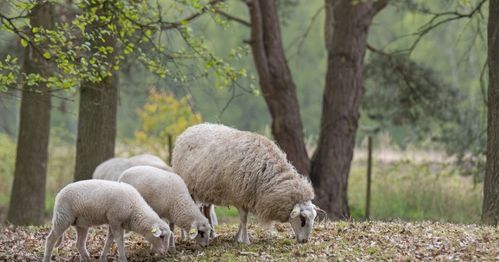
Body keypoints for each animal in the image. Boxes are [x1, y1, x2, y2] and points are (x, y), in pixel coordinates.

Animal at [43, 180, 172, 262]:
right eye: (161, 237)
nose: (165, 253)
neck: (134, 209)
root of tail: (58, 194)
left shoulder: (115, 222)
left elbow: (110, 239)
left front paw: (103, 258)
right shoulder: (115, 220)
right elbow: (119, 239)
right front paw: (123, 259)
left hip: (81, 223)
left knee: (79, 243)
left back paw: (86, 258)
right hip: (63, 218)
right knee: (50, 239)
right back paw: (47, 259)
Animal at [172, 123, 320, 244]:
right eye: (302, 220)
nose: (304, 241)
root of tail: (189, 130)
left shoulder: (247, 197)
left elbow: (243, 220)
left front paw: (237, 238)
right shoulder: (240, 196)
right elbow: (244, 219)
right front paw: (245, 240)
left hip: (208, 190)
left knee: (207, 211)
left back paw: (213, 234)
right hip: (188, 187)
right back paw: (185, 236)